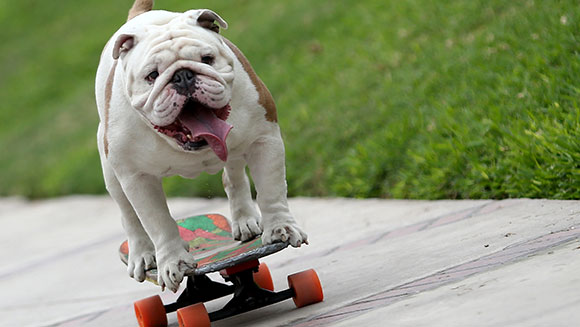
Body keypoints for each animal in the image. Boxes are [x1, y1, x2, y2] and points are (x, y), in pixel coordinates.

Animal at [94, 0, 308, 292]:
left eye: (207, 59)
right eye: (152, 75)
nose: (182, 76)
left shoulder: (264, 139)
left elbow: (271, 190)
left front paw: (280, 229)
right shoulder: (137, 177)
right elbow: (158, 222)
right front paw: (173, 262)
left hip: (236, 149)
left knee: (234, 177)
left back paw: (244, 220)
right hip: (112, 173)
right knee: (129, 216)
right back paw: (142, 255)